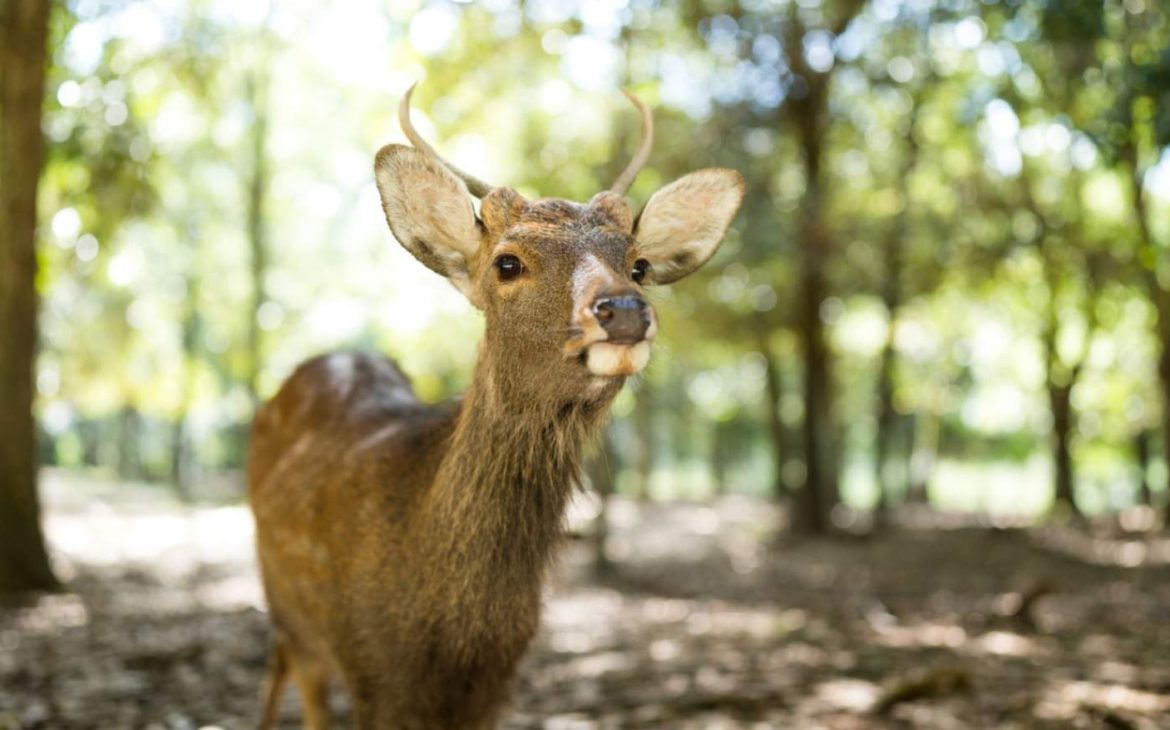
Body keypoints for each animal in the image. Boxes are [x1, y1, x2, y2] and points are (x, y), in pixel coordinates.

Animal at [248, 87, 744, 730]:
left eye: (638, 265)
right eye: (507, 262)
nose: (624, 311)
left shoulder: (495, 681)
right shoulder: (369, 670)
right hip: (288, 612)